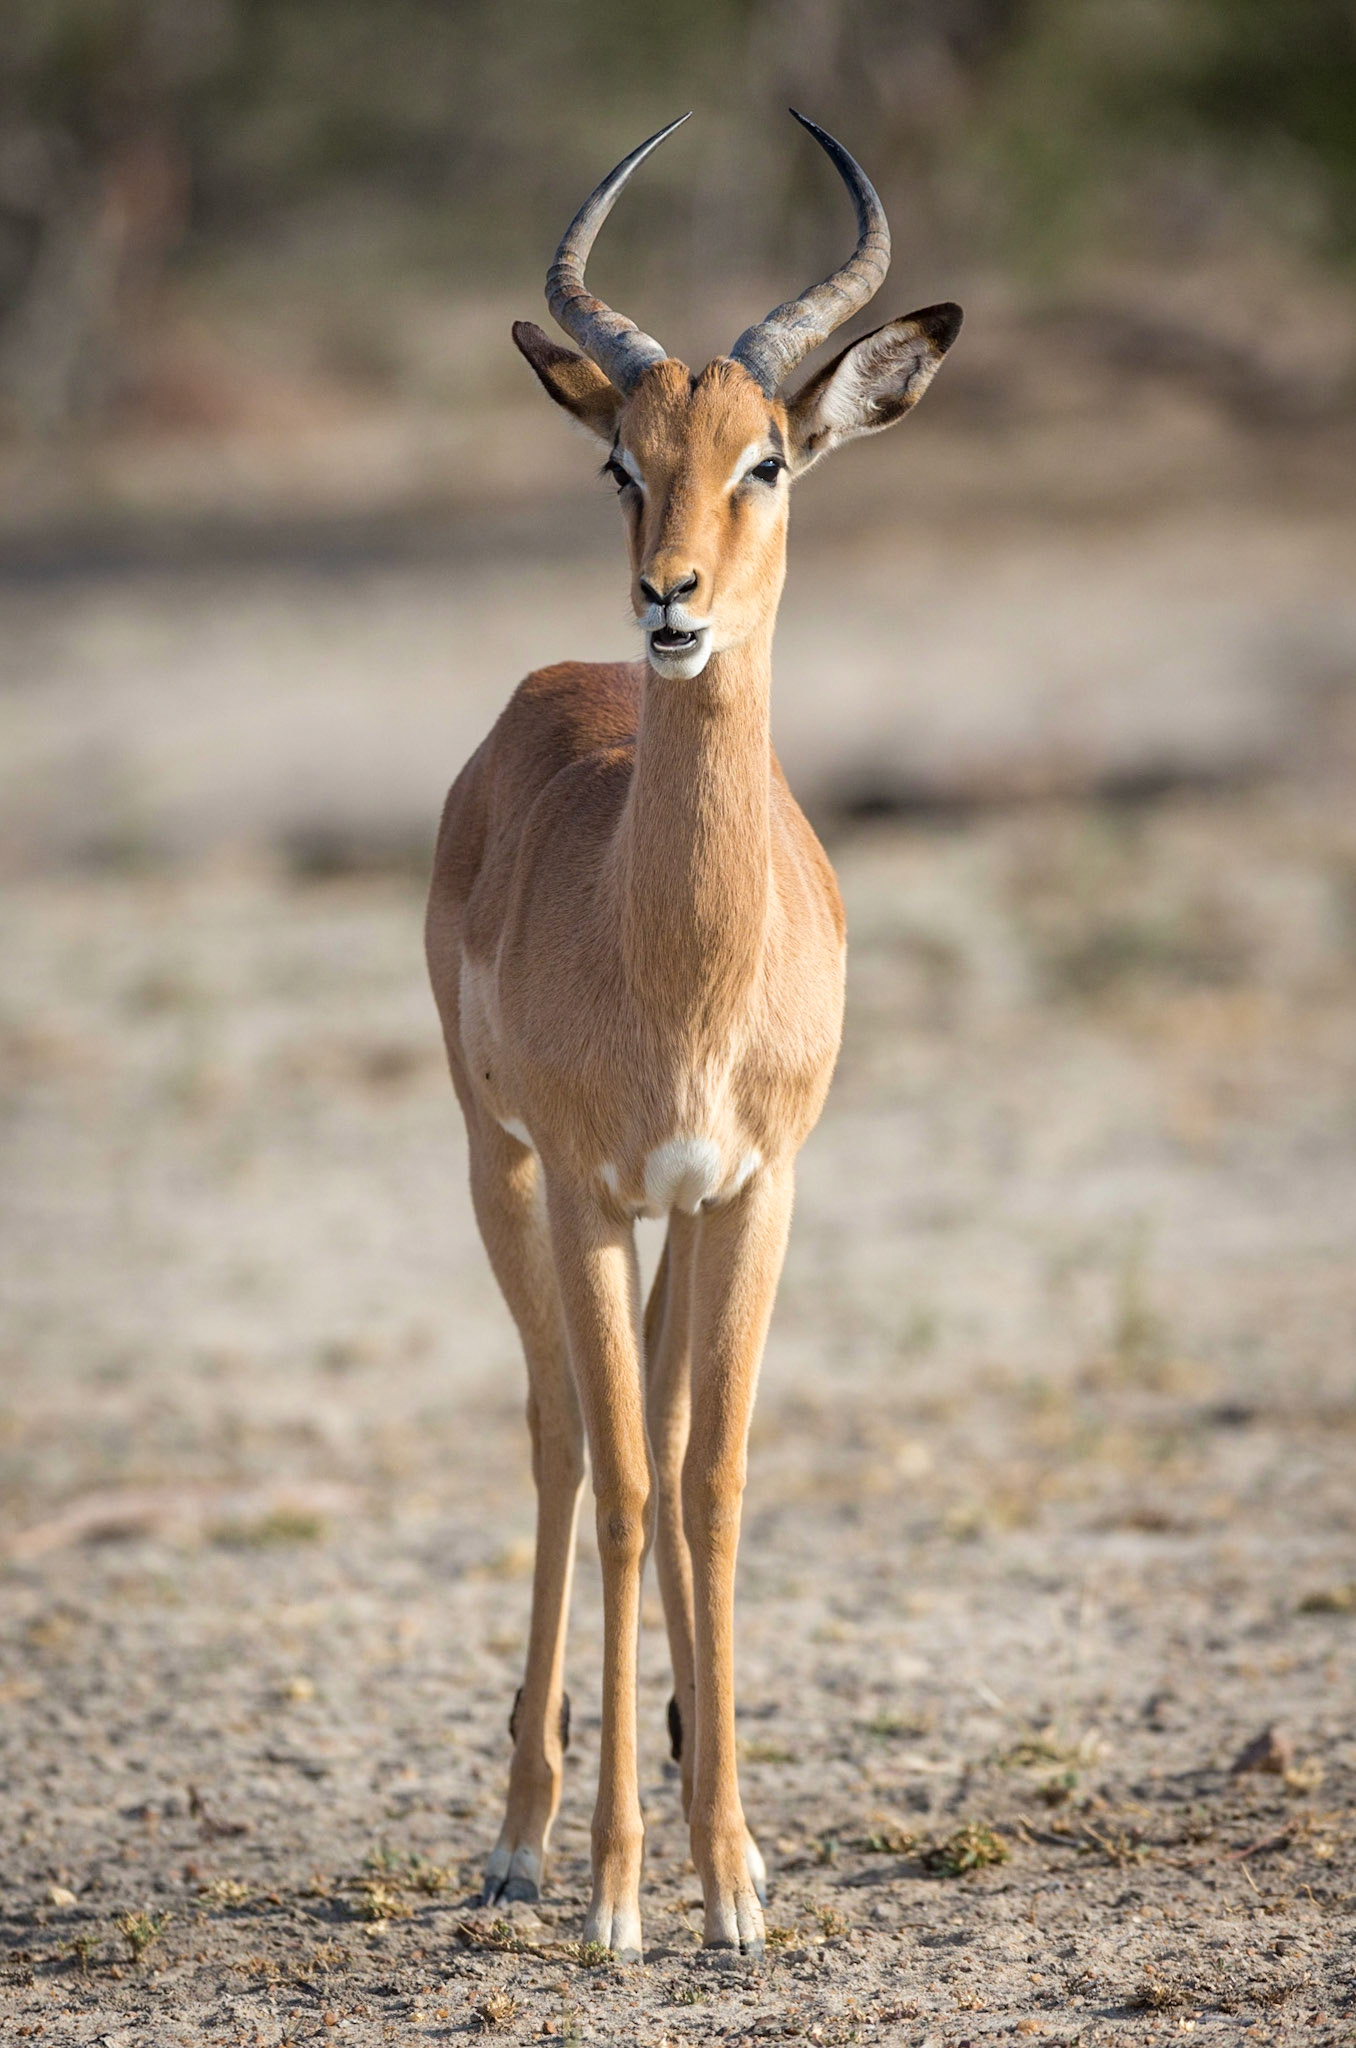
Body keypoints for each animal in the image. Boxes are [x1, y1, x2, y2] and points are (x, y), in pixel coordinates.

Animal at [426, 110, 960, 1960]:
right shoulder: (592, 1185)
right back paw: (521, 1838)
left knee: (642, 1434)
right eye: (621, 462)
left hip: (669, 1215)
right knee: (562, 1440)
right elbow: (625, 1482)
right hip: (500, 1172)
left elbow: (710, 1482)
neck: (682, 961)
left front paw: (731, 1875)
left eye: (767, 460)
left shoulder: (755, 1188)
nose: (670, 602)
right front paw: (615, 1893)